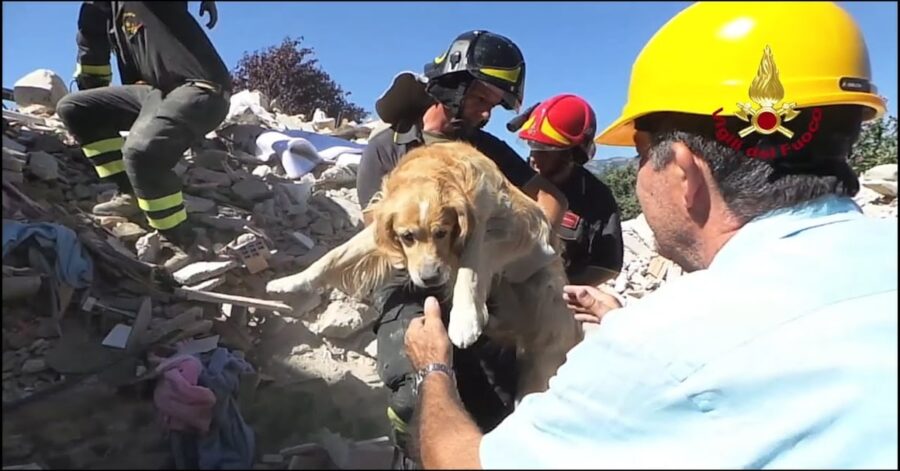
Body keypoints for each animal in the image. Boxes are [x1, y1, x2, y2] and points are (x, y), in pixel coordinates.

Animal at [268, 141, 584, 398]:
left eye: (442, 233)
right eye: (407, 237)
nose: (430, 277)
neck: (433, 171)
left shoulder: (503, 227)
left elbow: (471, 266)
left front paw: (465, 320)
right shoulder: (378, 231)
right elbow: (334, 256)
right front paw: (291, 282)